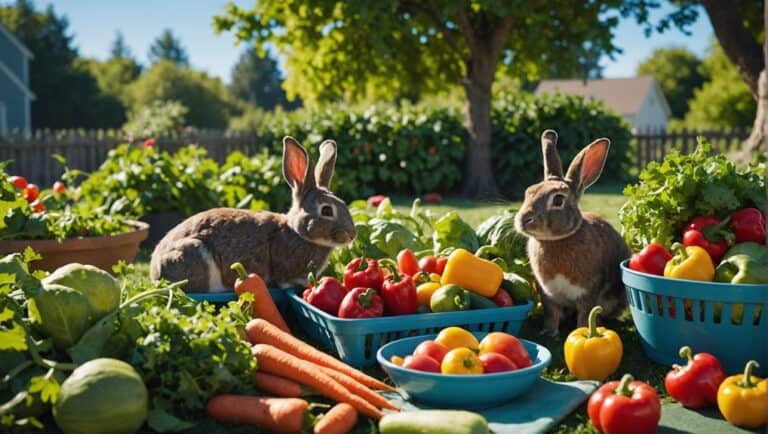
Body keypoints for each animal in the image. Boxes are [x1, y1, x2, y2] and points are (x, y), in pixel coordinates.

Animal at [514, 129, 630, 334]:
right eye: (528, 192)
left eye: (558, 200)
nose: (523, 219)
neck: (556, 240)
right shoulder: (547, 292)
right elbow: (551, 313)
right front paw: (549, 332)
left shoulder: (588, 290)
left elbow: (585, 313)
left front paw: (582, 330)